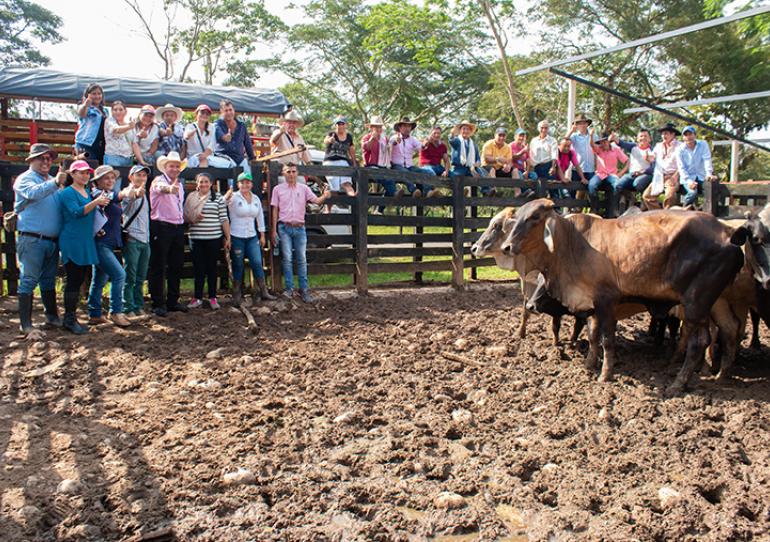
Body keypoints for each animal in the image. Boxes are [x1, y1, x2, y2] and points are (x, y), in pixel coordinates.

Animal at [498, 200, 744, 396]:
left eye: (535, 217)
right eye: (518, 216)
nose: (506, 246)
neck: (573, 244)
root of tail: (729, 235)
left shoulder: (606, 301)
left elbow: (607, 340)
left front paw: (605, 375)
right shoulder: (592, 306)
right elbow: (593, 336)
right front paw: (589, 364)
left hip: (696, 303)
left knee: (699, 342)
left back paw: (678, 383)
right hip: (716, 302)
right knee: (729, 329)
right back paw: (721, 375)